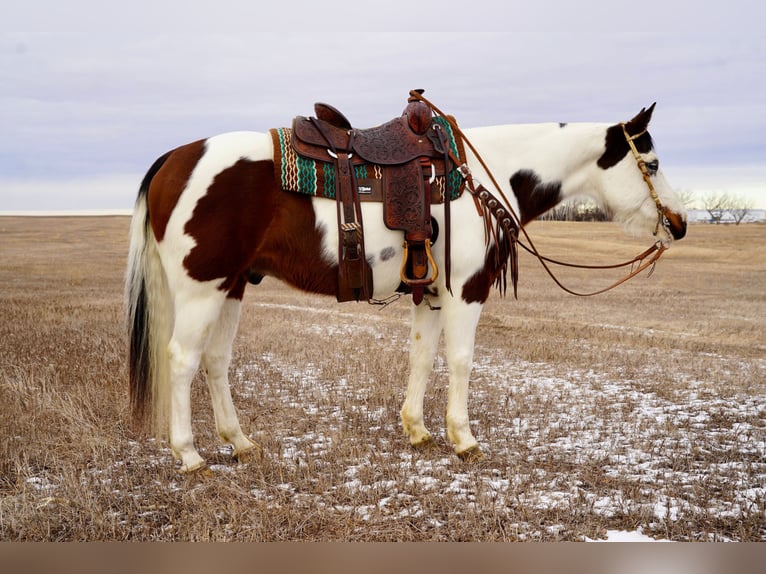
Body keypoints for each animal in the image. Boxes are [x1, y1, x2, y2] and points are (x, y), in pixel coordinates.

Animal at [126, 98, 688, 472]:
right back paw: (189, 454)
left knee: (216, 361)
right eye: (653, 163)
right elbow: (460, 360)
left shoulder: (431, 295)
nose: (680, 224)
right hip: (201, 289)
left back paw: (239, 442)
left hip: (232, 286)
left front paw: (417, 430)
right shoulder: (466, 290)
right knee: (182, 359)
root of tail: (173, 159)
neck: (485, 176)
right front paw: (463, 438)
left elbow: (422, 356)